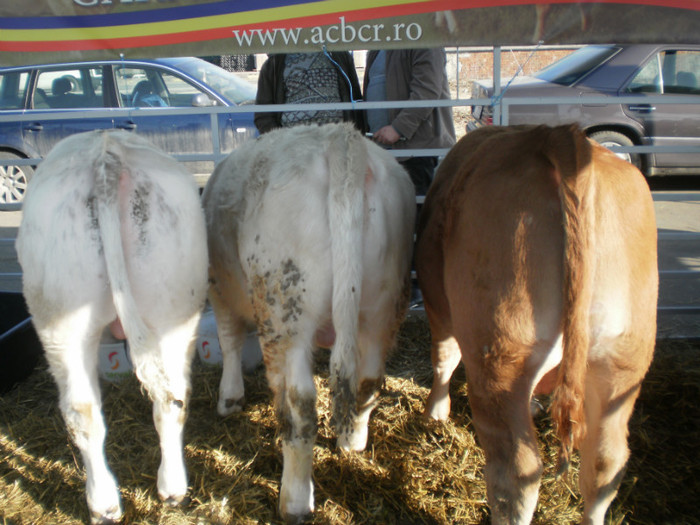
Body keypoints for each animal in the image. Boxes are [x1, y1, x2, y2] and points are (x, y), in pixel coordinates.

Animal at [16, 129, 208, 520]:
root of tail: (106, 153)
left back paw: (103, 504)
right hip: (171, 309)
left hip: (59, 319)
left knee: (85, 411)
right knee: (168, 399)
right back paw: (170, 491)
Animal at [201, 122, 416, 520]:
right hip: (382, 307)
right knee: (367, 382)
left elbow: (229, 342)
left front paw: (229, 398)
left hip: (287, 316)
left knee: (299, 405)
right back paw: (351, 441)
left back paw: (295, 500)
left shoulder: (218, 288)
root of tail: (341, 140)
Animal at [418, 125, 660, 520]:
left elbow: (443, 359)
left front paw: (435, 413)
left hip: (499, 355)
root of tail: (558, 135)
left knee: (517, 474)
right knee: (605, 466)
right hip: (623, 360)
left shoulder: (438, 305)